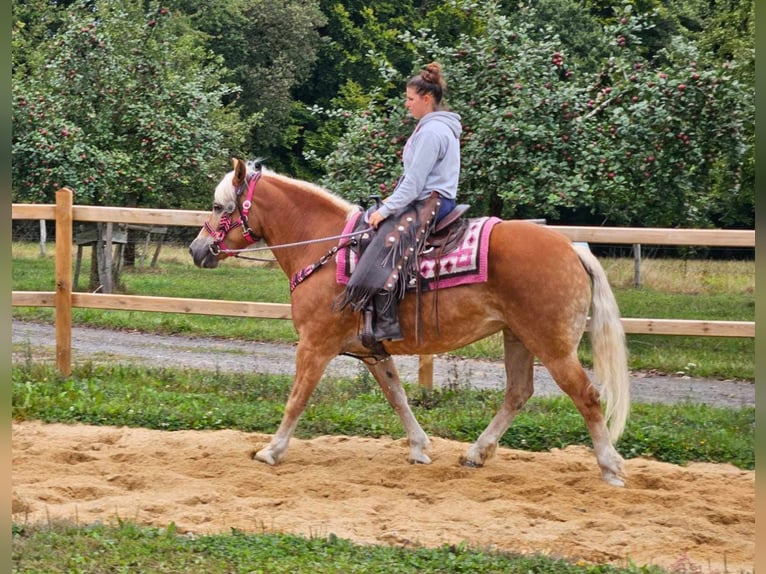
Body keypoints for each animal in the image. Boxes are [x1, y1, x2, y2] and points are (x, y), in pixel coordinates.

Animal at [190, 158, 632, 486]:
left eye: (218, 206)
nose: (197, 250)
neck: (324, 248)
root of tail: (573, 249)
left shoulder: (315, 346)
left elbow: (297, 398)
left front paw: (271, 450)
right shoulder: (372, 351)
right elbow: (397, 395)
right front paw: (419, 448)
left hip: (552, 346)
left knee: (586, 396)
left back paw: (610, 467)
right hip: (518, 338)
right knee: (518, 393)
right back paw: (476, 453)